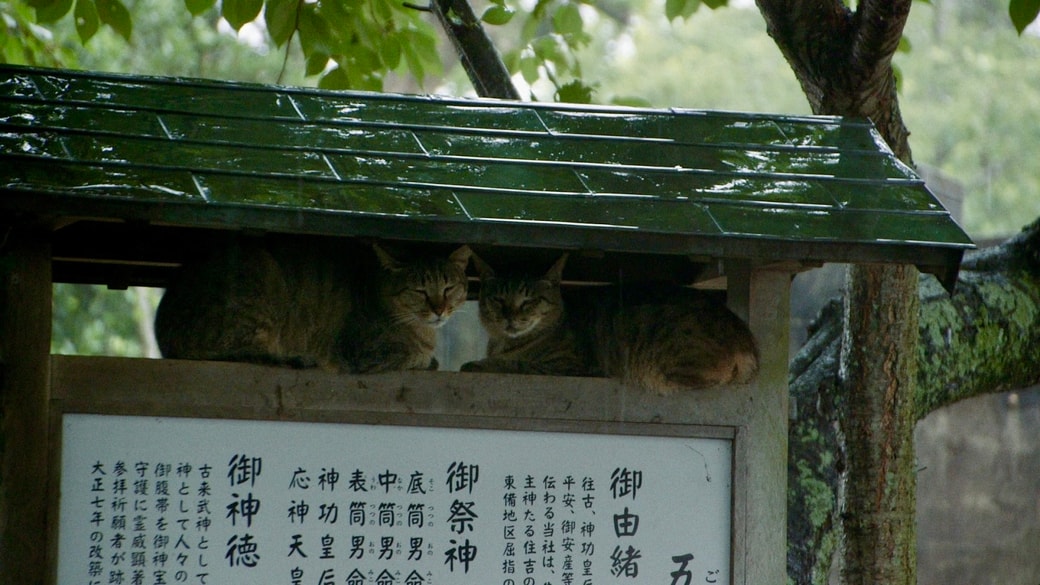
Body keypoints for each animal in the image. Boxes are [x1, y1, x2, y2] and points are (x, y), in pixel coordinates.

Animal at [153, 234, 472, 370]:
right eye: (419, 290)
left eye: (449, 287)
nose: (439, 309)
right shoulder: (361, 352)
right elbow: (412, 355)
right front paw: (427, 358)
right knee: (238, 351)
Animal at [461, 251, 757, 391]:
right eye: (498, 299)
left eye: (529, 301)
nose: (509, 317)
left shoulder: (571, 366)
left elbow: (517, 363)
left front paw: (478, 364)